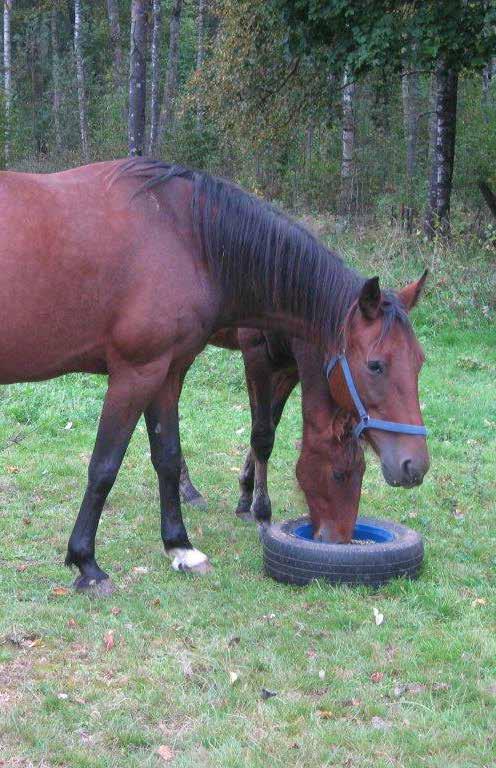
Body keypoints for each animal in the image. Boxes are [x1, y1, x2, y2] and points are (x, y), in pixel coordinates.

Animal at [0, 154, 426, 588]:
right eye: (375, 365)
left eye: (420, 361)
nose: (414, 466)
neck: (184, 234)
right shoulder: (135, 374)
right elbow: (104, 466)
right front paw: (86, 562)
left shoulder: (167, 372)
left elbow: (168, 456)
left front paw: (180, 547)